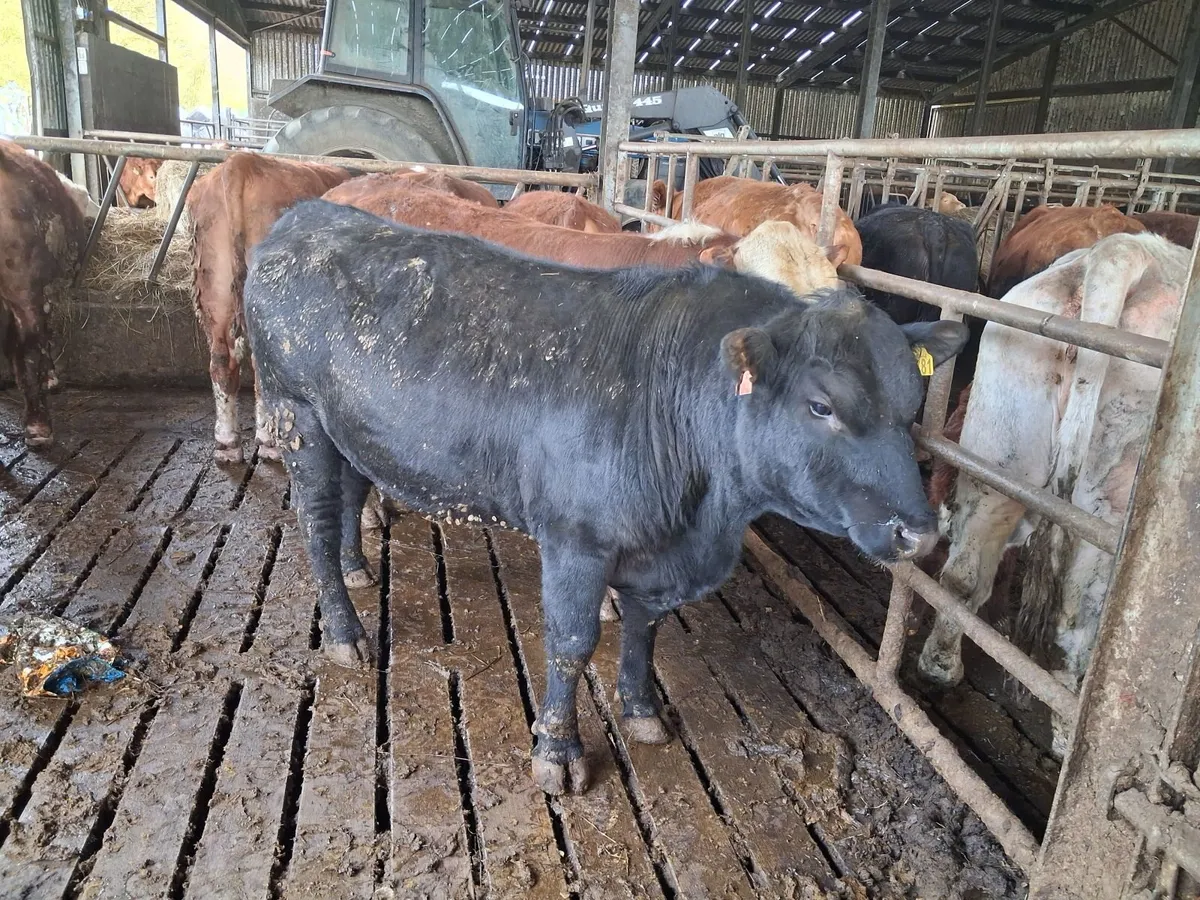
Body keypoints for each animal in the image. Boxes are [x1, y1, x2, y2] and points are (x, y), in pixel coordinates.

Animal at [244, 198, 970, 794]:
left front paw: (641, 711)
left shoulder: (654, 552)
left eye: (911, 405)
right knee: (315, 519)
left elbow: (646, 627)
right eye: (821, 405)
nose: (918, 532)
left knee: (351, 492)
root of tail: (305, 216)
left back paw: (357, 568)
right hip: (295, 413)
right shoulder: (576, 541)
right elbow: (571, 641)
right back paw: (345, 629)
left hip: (351, 428)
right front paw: (557, 752)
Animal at [917, 233, 1187, 756]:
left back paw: (940, 667)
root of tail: (1122, 252)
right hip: (1108, 499)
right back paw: (1067, 731)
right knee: (1078, 621)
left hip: (1002, 454)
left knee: (963, 576)